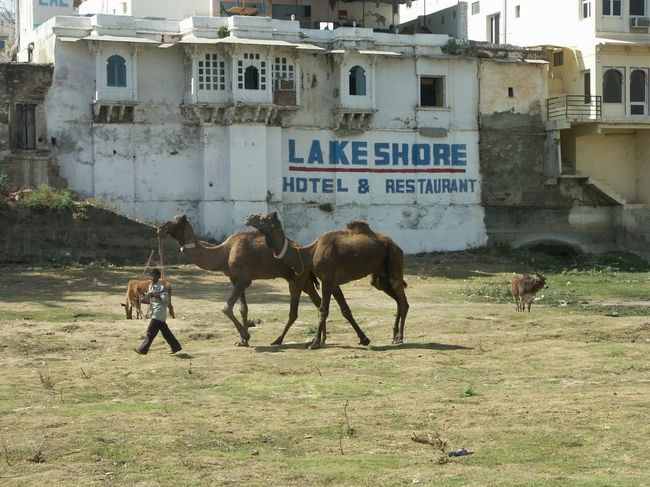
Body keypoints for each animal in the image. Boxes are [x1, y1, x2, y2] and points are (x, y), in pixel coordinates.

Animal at [157, 214, 318, 346]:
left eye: (176, 222)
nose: (160, 228)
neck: (224, 253)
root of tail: (304, 249)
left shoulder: (244, 279)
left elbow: (226, 308)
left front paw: (246, 335)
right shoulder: (235, 279)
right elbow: (243, 308)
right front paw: (242, 341)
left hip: (297, 277)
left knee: (295, 310)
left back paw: (279, 340)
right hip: (302, 277)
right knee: (317, 299)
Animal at [246, 214, 408, 350]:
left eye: (265, 218)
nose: (249, 218)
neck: (309, 253)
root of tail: (396, 245)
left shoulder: (327, 279)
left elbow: (324, 310)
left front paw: (314, 343)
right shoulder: (333, 283)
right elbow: (345, 310)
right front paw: (364, 339)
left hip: (394, 258)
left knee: (402, 299)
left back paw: (399, 337)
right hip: (380, 275)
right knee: (395, 297)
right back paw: (394, 336)